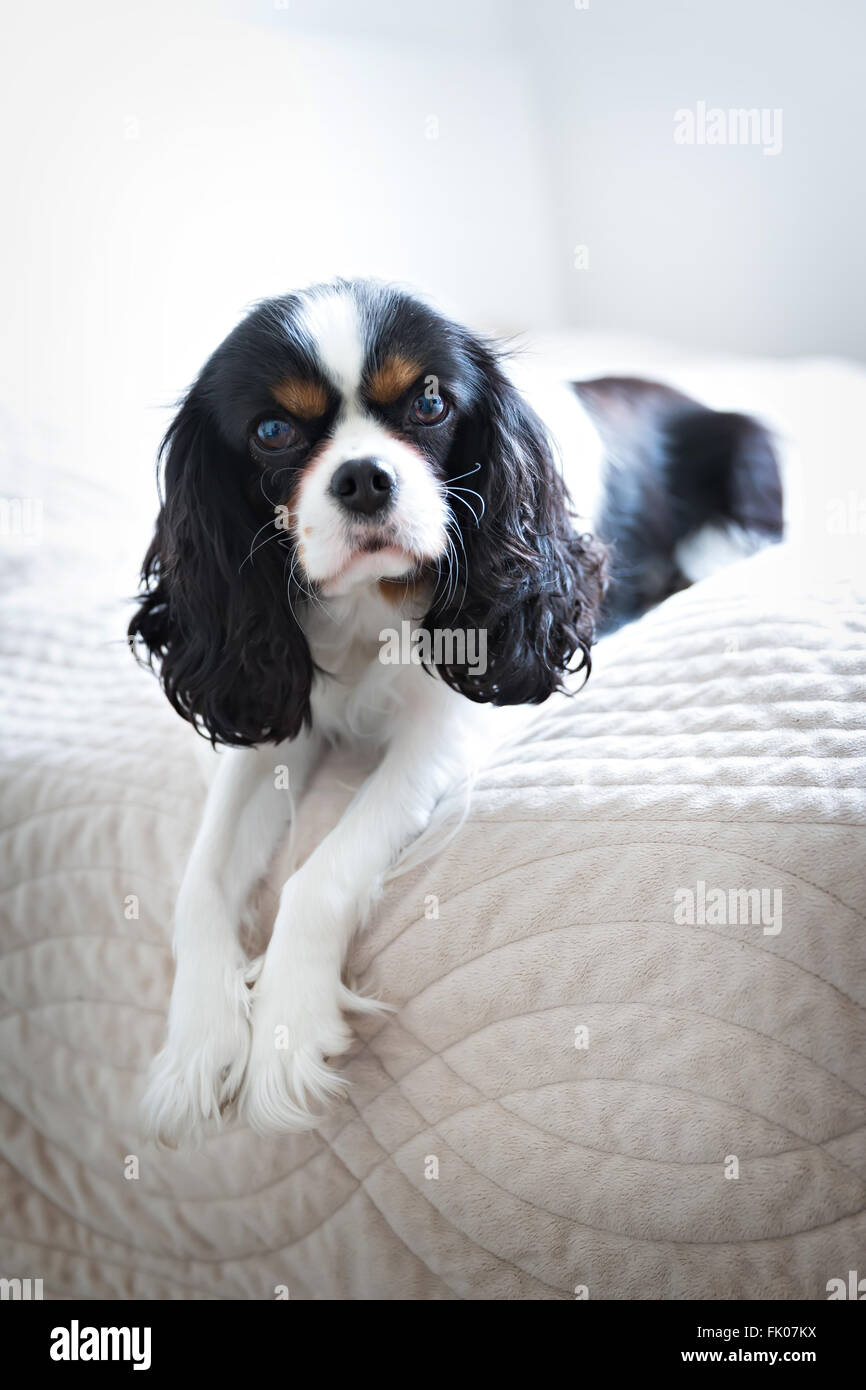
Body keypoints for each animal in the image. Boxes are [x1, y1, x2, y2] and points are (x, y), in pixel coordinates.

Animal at [130, 273, 783, 1139]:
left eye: (430, 404)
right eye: (272, 431)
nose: (364, 476)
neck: (369, 607)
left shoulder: (450, 725)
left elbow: (320, 873)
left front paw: (284, 1033)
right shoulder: (269, 710)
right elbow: (199, 886)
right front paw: (197, 1044)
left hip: (736, 495)